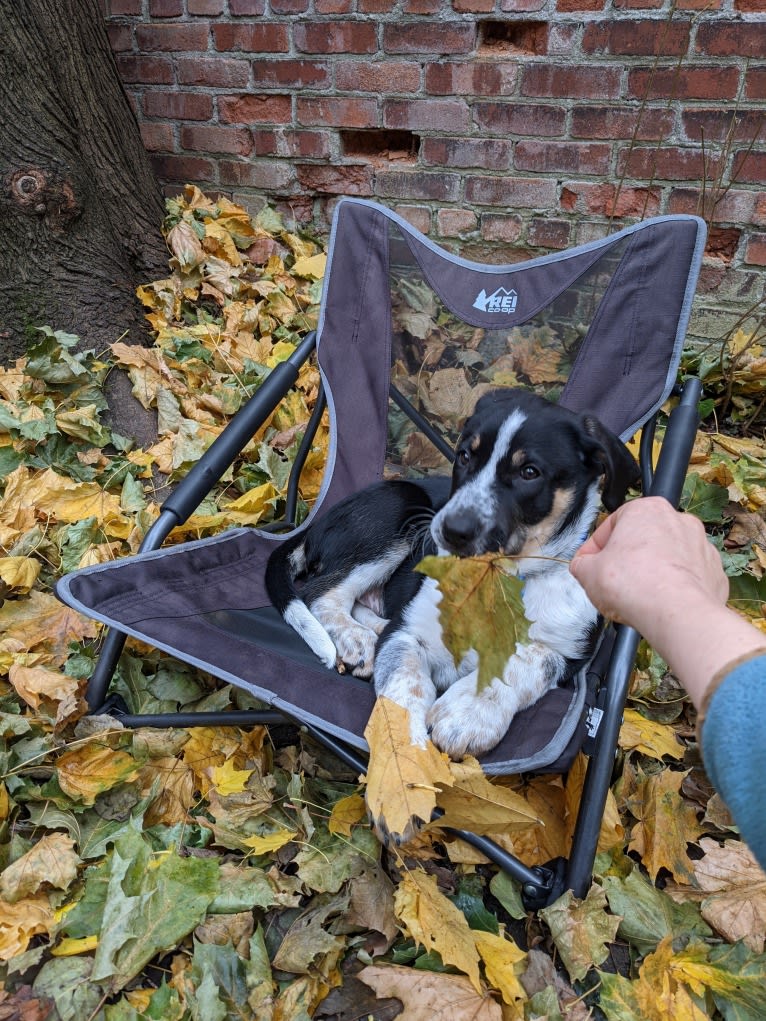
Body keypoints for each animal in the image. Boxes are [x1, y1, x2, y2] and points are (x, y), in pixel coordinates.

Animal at [267, 387, 637, 759]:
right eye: (464, 456)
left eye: (529, 472)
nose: (451, 530)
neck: (497, 577)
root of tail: (313, 526)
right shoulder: (409, 632)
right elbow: (404, 694)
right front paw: (409, 762)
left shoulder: (569, 650)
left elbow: (526, 659)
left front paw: (467, 714)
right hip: (399, 508)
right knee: (320, 593)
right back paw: (357, 639)